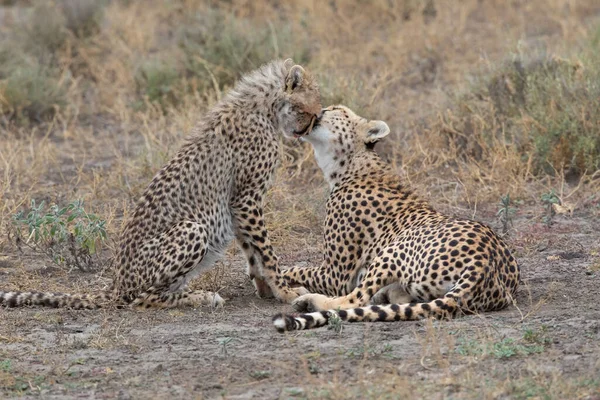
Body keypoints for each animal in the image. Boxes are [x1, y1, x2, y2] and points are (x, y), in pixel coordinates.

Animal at [2, 58, 322, 310]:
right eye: (310, 112)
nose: (307, 131)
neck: (266, 107)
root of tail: (116, 284)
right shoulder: (246, 198)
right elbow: (266, 251)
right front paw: (285, 291)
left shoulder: (239, 204)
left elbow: (252, 250)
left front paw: (266, 289)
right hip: (192, 229)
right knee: (141, 299)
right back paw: (202, 297)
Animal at [274, 105, 520, 332]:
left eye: (336, 109)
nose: (319, 109)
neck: (351, 165)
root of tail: (486, 262)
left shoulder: (335, 275)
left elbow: (296, 269)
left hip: (392, 250)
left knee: (351, 301)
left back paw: (308, 301)